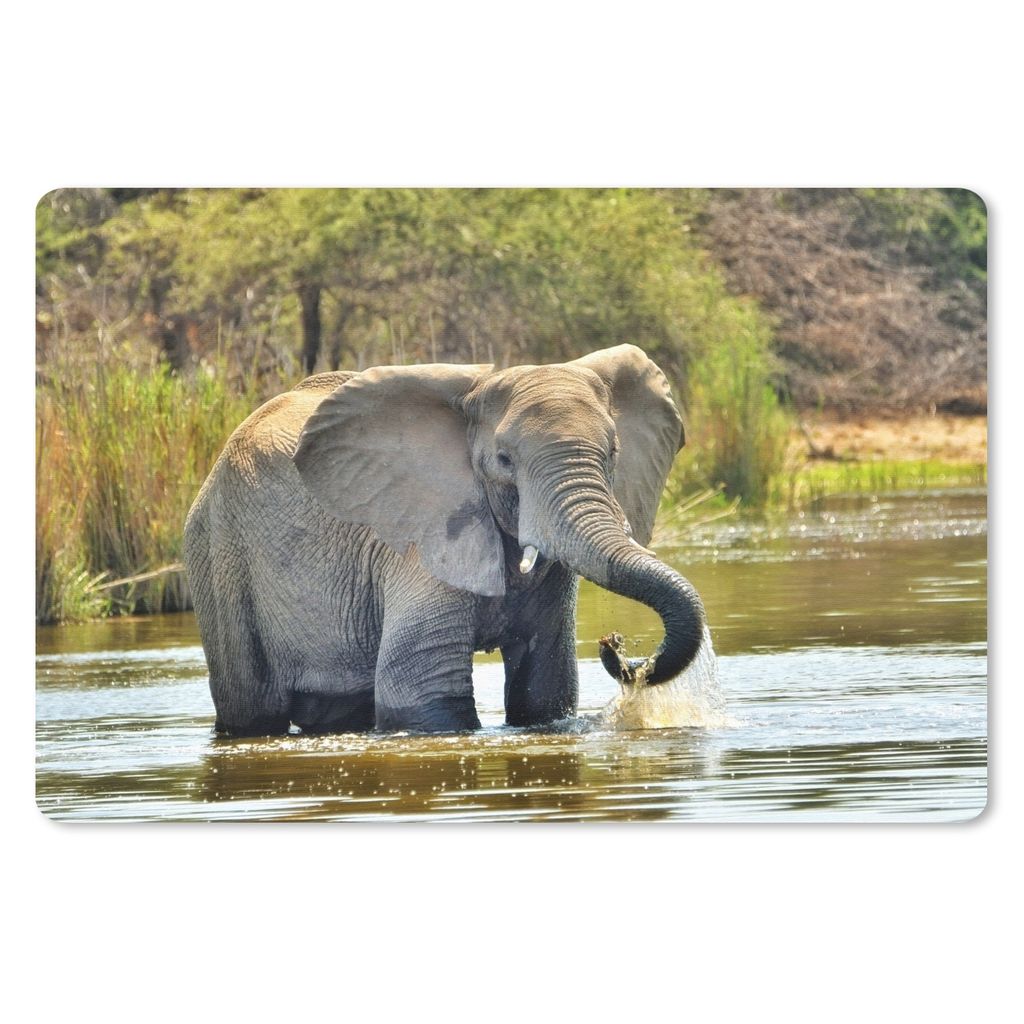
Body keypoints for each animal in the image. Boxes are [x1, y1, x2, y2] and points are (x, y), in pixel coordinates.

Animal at [183, 344, 707, 736]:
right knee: (250, 709)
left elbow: (545, 688)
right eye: (503, 460)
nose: (616, 647)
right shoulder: (419, 537)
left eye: (613, 451)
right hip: (218, 553)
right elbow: (420, 690)